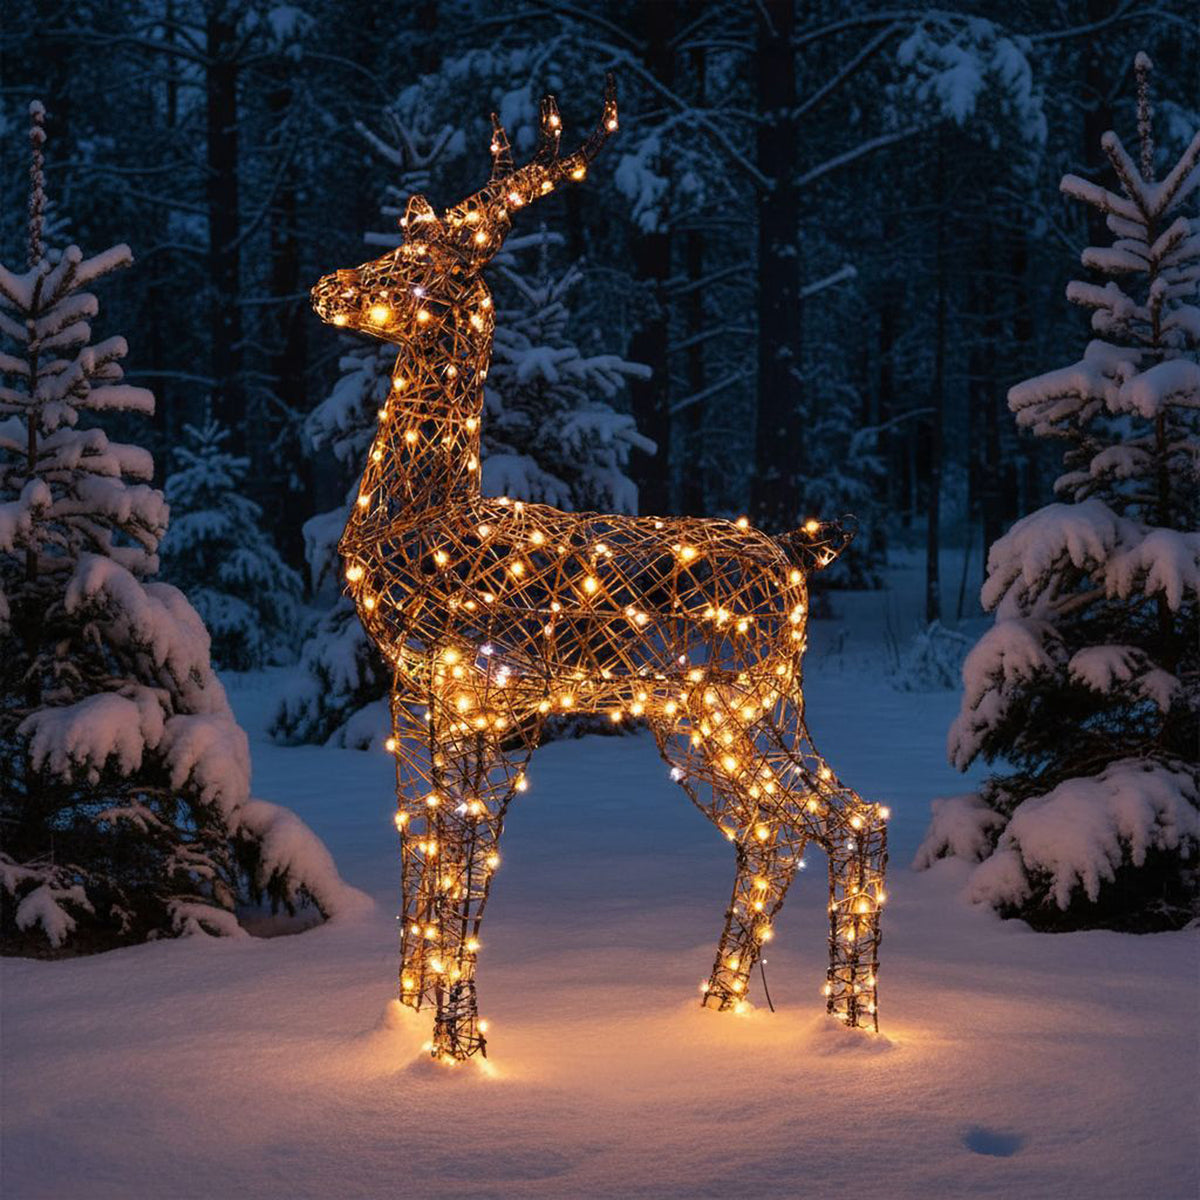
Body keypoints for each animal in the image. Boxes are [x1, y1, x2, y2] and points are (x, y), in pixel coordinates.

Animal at [311, 76, 888, 1063]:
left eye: (425, 263)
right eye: (397, 241)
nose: (328, 288)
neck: (426, 517)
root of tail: (797, 556)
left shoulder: (488, 692)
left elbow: (466, 860)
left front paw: (460, 1045)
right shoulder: (416, 690)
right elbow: (418, 853)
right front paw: (406, 1021)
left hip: (743, 701)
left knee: (841, 819)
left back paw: (848, 1030)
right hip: (709, 717)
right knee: (785, 826)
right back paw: (730, 1009)